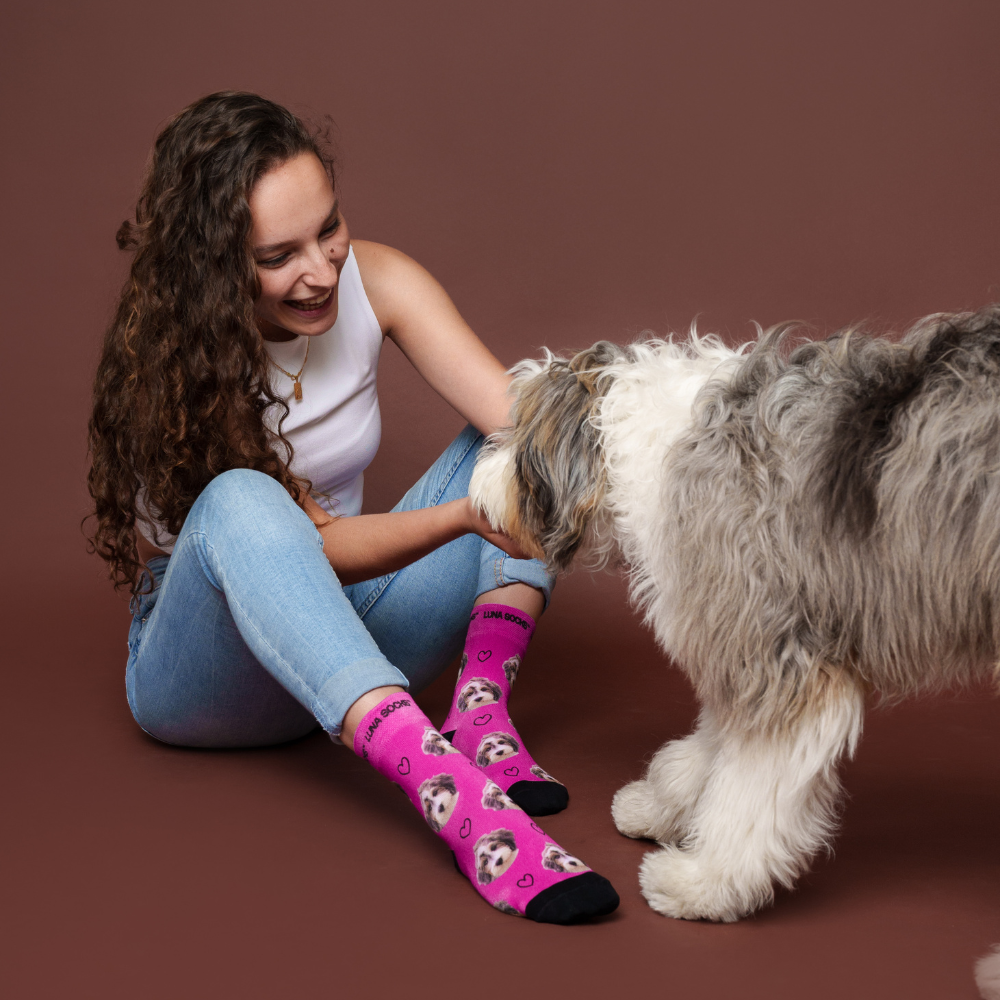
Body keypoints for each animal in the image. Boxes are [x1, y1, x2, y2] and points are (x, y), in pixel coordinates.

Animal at [470, 304, 1000, 920]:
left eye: (514, 428)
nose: (475, 482)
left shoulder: (777, 656)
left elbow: (751, 785)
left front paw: (703, 880)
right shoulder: (732, 636)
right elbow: (713, 743)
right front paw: (664, 805)